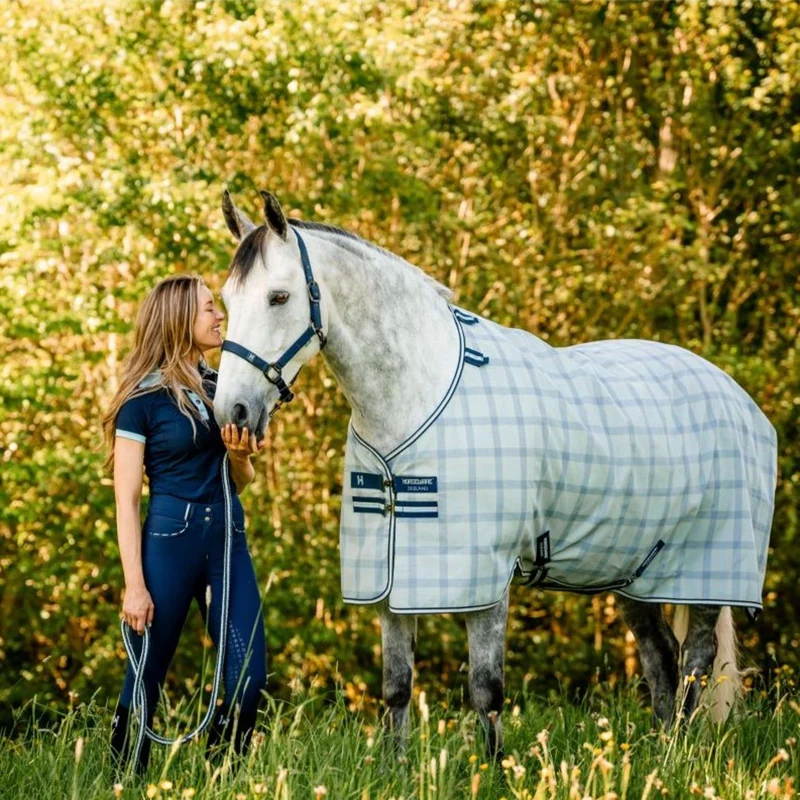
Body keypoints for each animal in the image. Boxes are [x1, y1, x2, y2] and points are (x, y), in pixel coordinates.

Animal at [212, 189, 777, 756]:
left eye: (279, 297)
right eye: (228, 301)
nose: (231, 413)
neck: (417, 394)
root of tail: (732, 391)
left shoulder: (484, 578)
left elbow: (486, 690)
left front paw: (494, 766)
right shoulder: (391, 575)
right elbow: (397, 686)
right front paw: (397, 764)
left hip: (706, 568)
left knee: (696, 661)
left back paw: (685, 751)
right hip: (634, 569)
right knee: (661, 658)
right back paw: (663, 752)